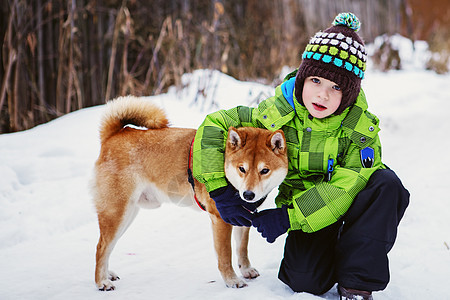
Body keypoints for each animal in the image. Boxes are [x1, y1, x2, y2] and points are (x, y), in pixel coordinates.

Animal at [93, 95, 288, 290]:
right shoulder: (221, 219)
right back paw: (102, 281)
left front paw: (246, 270)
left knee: (107, 246)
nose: (248, 195)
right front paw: (232, 280)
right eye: (242, 169)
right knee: (101, 247)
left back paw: (108, 275)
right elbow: (225, 256)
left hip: (128, 214)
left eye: (264, 170)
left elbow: (242, 248)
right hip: (117, 213)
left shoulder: (242, 217)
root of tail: (114, 135)